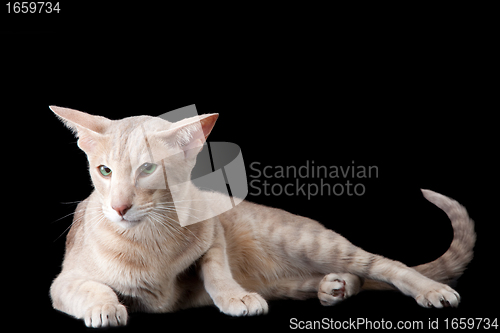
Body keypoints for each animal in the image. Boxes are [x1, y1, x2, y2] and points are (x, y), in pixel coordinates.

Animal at [49, 105, 476, 326]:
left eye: (148, 169)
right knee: (344, 277)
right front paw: (105, 307)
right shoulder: (64, 280)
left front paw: (232, 295)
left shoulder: (213, 228)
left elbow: (214, 267)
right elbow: (91, 287)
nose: (119, 207)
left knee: (383, 265)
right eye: (105, 171)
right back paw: (333, 287)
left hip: (310, 242)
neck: (149, 239)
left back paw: (430, 290)